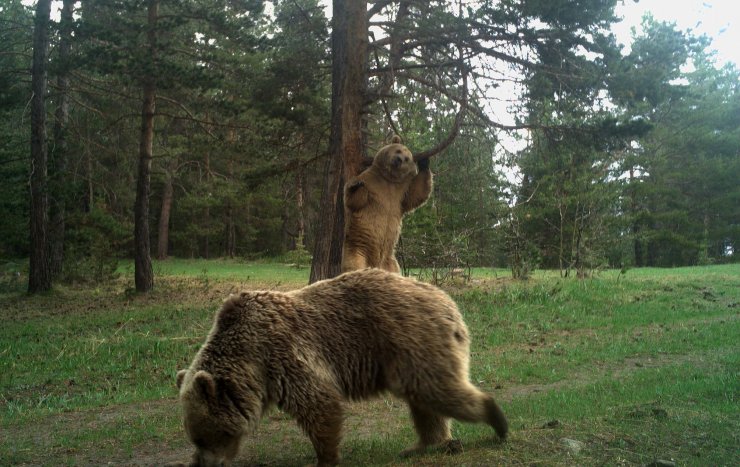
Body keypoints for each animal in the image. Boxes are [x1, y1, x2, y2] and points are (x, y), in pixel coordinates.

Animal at [176, 268, 506, 466]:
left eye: (202, 436)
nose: (200, 464)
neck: (250, 364)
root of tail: (447, 300)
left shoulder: (284, 355)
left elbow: (319, 405)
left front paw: (325, 458)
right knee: (425, 403)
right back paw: (424, 445)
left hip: (412, 339)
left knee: (438, 390)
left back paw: (496, 420)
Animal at [342, 135, 434, 274]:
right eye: (398, 150)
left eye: (407, 158)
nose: (398, 160)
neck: (388, 179)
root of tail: (376, 265)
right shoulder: (370, 183)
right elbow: (355, 201)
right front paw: (354, 186)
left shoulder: (400, 194)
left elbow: (415, 195)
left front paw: (424, 162)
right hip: (357, 248)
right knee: (354, 265)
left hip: (390, 261)